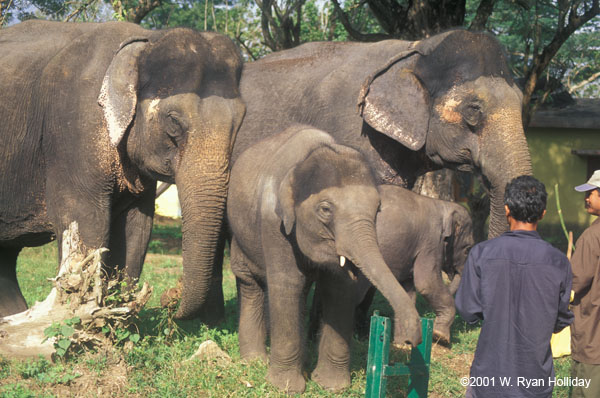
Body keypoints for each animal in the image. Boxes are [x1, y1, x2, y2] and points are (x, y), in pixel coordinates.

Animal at [0, 19, 245, 320]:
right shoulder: (73, 127)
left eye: (241, 121)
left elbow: (136, 228)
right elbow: (84, 220)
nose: (169, 297)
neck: (146, 39)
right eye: (173, 121)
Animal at [227, 126, 420, 394]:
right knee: (250, 283)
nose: (411, 340)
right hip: (240, 235)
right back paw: (254, 360)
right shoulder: (273, 223)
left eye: (378, 209)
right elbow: (287, 284)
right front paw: (286, 388)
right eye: (326, 210)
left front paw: (332, 387)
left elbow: (339, 288)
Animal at [356, 185, 474, 344]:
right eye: (468, 249)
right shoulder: (430, 244)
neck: (444, 205)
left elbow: (408, 289)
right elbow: (426, 284)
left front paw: (403, 344)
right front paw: (440, 336)